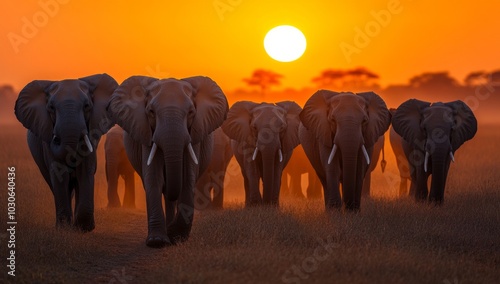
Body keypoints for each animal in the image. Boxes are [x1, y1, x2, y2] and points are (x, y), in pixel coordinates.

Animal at [14, 73, 117, 231]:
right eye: (51, 108)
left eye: (87, 106)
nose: (56, 139)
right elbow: (59, 173)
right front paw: (64, 228)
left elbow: (85, 170)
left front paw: (83, 228)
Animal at [108, 75, 229, 246]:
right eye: (151, 112)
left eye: (191, 112)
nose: (170, 232)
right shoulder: (146, 132)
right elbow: (154, 178)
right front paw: (157, 241)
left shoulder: (195, 133)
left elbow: (187, 179)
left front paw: (176, 236)